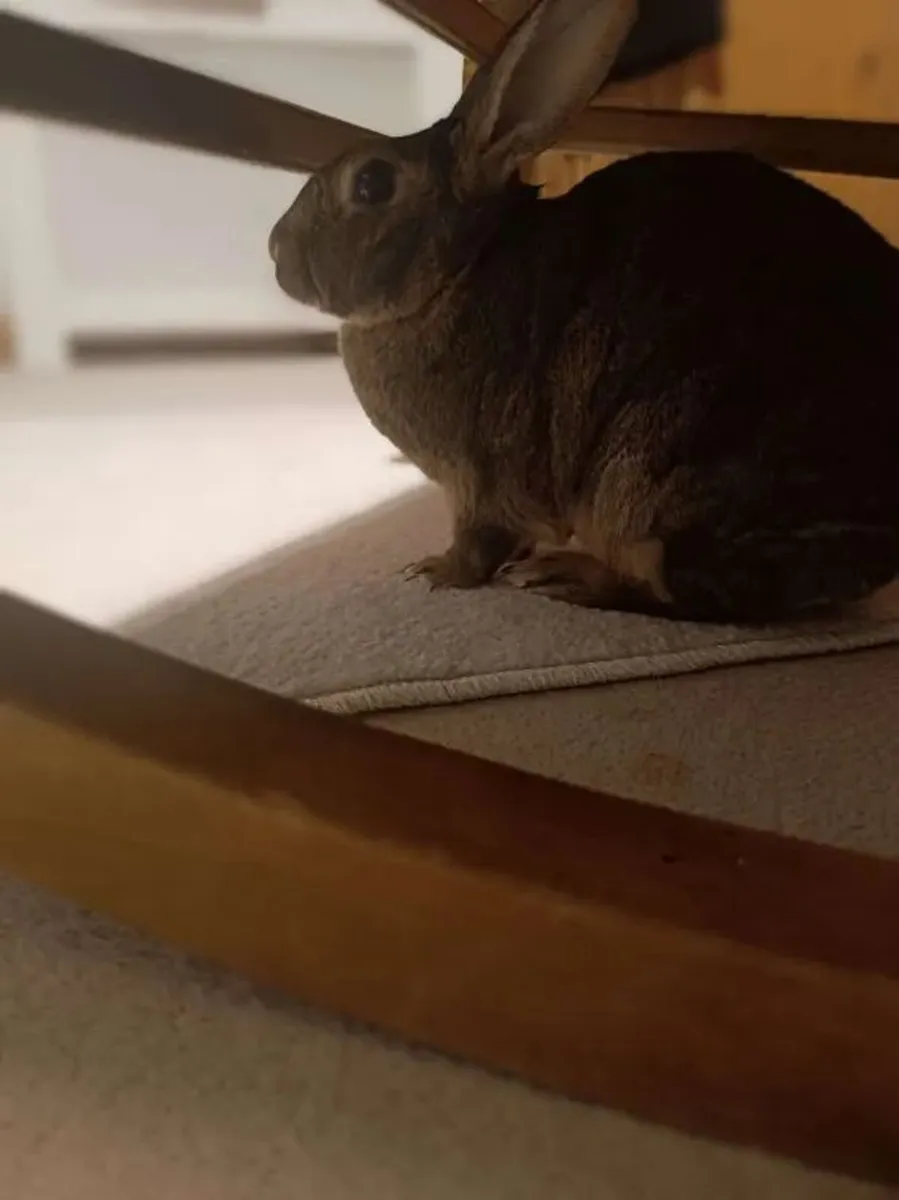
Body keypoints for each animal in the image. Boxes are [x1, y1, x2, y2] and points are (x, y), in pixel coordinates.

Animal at [269, 0, 899, 623]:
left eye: (372, 183)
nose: (275, 250)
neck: (457, 270)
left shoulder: (479, 479)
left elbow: (477, 542)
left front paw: (435, 571)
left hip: (653, 475)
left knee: (678, 589)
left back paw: (568, 576)